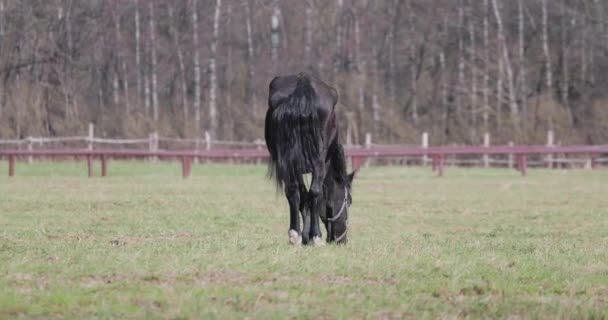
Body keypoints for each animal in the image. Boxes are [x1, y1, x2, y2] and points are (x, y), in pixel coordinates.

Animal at [264, 73, 354, 245]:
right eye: (349, 201)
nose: (342, 240)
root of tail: (303, 85)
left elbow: (301, 197)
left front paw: (302, 236)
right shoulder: (324, 163)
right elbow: (315, 196)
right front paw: (311, 236)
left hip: (289, 163)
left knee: (293, 191)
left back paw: (294, 235)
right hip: (318, 161)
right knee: (315, 192)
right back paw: (316, 237)